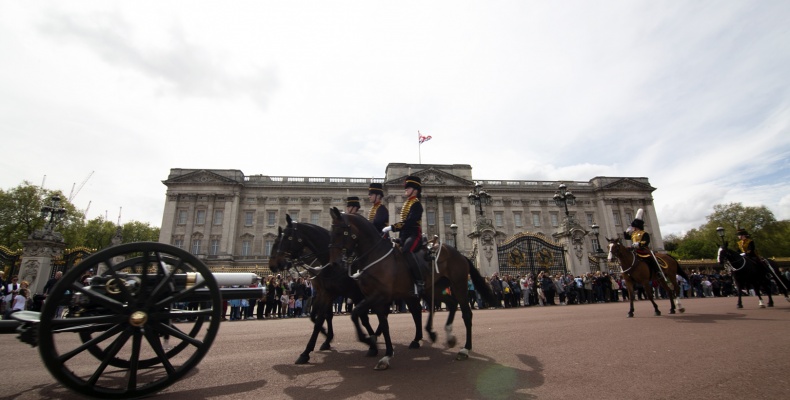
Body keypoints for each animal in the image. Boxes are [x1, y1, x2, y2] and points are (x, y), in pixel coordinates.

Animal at [328, 208, 496, 370]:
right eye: (331, 231)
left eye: (341, 232)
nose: (334, 263)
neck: (375, 256)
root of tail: (458, 254)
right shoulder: (374, 298)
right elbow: (379, 322)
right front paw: (384, 353)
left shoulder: (380, 295)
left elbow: (357, 314)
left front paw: (369, 341)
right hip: (434, 288)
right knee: (450, 304)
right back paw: (447, 336)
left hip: (458, 285)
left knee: (466, 313)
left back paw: (465, 349)